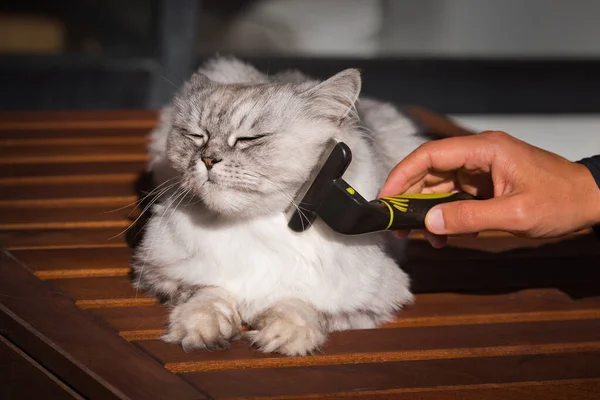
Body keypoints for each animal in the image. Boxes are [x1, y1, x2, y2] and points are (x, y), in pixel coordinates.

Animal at [133, 54, 428, 354]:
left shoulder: (374, 298)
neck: (253, 229)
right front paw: (202, 332)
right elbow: (210, 295)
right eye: (197, 136)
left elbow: (298, 305)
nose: (208, 159)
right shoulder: (163, 274)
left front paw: (283, 338)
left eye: (249, 139)